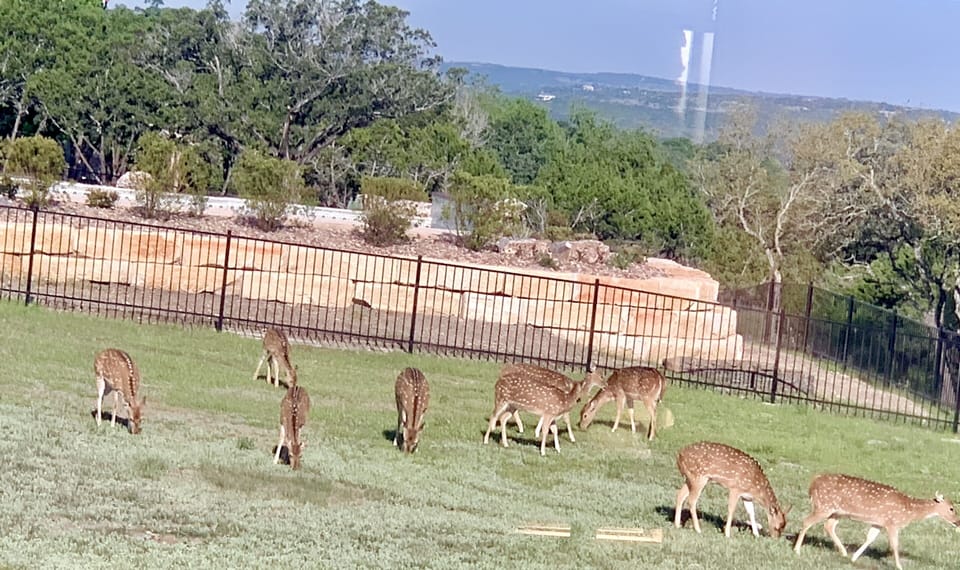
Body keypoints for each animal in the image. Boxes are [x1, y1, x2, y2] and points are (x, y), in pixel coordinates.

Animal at [793, 473, 960, 569]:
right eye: (952, 508)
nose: (958, 522)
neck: (908, 511)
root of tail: (813, 483)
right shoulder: (892, 523)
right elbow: (895, 545)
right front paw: (899, 566)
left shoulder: (879, 523)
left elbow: (870, 538)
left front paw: (854, 558)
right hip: (824, 506)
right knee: (807, 521)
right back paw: (797, 550)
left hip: (836, 512)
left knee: (828, 526)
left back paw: (844, 552)